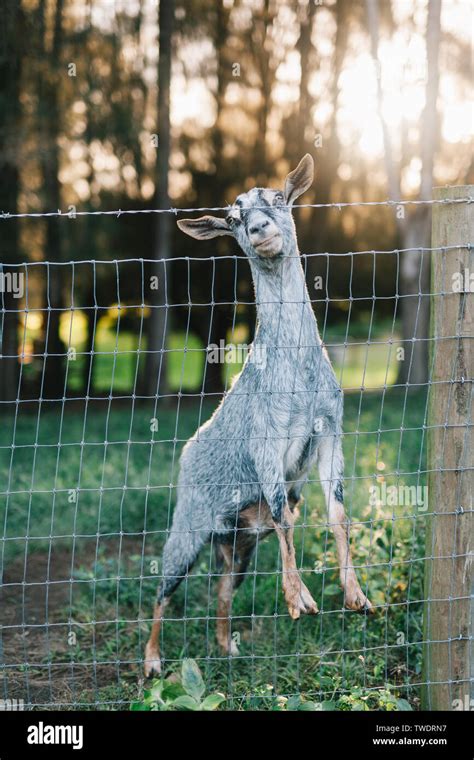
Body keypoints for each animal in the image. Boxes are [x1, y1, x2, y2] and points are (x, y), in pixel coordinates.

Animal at [143, 154, 372, 676]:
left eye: (280, 198)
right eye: (231, 219)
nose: (259, 228)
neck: (298, 376)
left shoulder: (329, 432)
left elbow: (338, 514)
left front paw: (356, 596)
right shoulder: (266, 443)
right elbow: (287, 520)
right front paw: (299, 599)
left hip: (240, 544)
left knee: (224, 588)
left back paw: (227, 645)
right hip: (187, 525)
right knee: (163, 589)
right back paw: (152, 661)